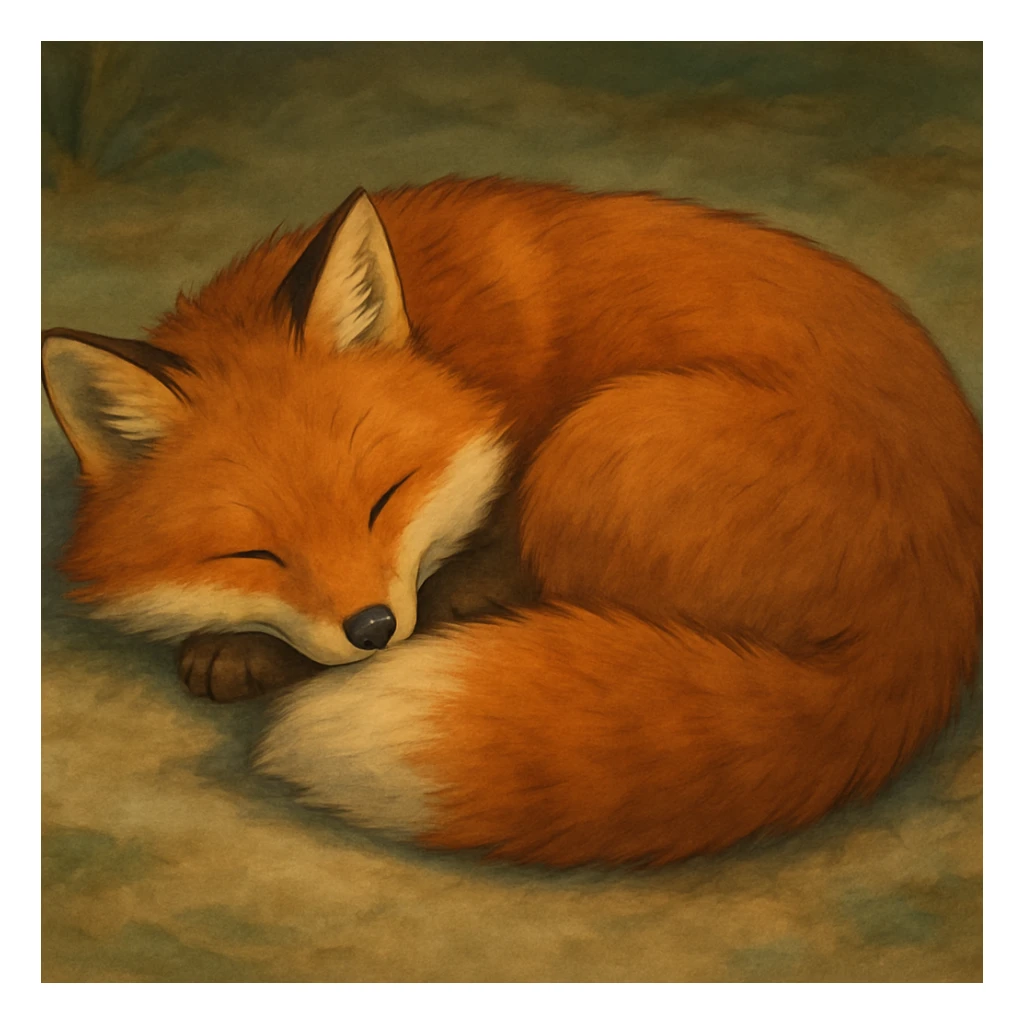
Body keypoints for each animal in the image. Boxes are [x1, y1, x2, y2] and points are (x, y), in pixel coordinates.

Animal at [42, 177, 982, 867]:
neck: (459, 348)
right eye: (254, 553)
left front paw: (256, 651)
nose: (373, 628)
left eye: (386, 498)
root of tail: (930, 636)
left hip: (599, 440)